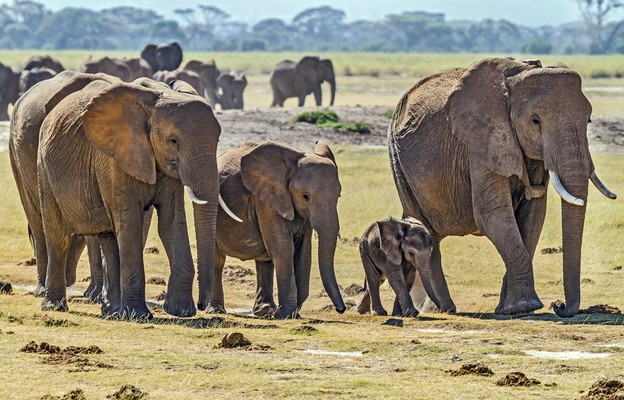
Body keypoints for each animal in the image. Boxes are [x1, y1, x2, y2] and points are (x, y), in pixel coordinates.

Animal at [31, 75, 227, 318]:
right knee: (58, 235)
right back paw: (55, 306)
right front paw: (138, 315)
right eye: (173, 141)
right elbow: (130, 220)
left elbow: (171, 223)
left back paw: (112, 311)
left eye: (218, 141)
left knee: (109, 237)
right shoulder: (114, 159)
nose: (202, 305)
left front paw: (181, 311)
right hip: (44, 167)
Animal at [212, 141, 344, 318]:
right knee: (217, 259)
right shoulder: (266, 201)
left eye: (339, 196)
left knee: (264, 258)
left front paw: (293, 313)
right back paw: (216, 310)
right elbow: (282, 248)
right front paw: (285, 314)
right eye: (305, 197)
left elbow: (303, 251)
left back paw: (264, 311)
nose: (340, 309)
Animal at [388, 57, 616, 318]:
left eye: (588, 120)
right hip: (397, 160)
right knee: (425, 230)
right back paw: (444, 309)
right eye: (535, 121)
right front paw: (525, 307)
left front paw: (511, 309)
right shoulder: (482, 140)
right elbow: (492, 214)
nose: (559, 305)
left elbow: (533, 216)